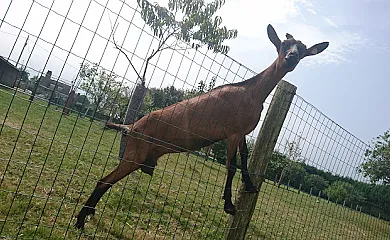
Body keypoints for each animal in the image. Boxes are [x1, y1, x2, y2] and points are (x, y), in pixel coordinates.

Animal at [74, 23, 330, 229]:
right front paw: (229, 205)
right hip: (135, 153)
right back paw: (80, 221)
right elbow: (231, 166)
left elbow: (245, 158)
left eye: (302, 49)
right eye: (283, 45)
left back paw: (87, 215)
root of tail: (132, 127)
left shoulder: (243, 132)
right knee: (103, 181)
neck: (252, 92)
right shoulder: (233, 132)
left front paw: (250, 185)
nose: (291, 57)